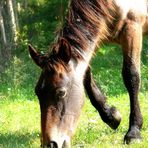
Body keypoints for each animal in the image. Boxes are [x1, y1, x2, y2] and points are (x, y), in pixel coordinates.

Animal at [28, 0, 148, 147]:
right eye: (38, 93)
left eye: (61, 92)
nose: (51, 144)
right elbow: (86, 77)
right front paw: (111, 116)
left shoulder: (132, 29)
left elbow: (131, 76)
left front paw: (134, 131)